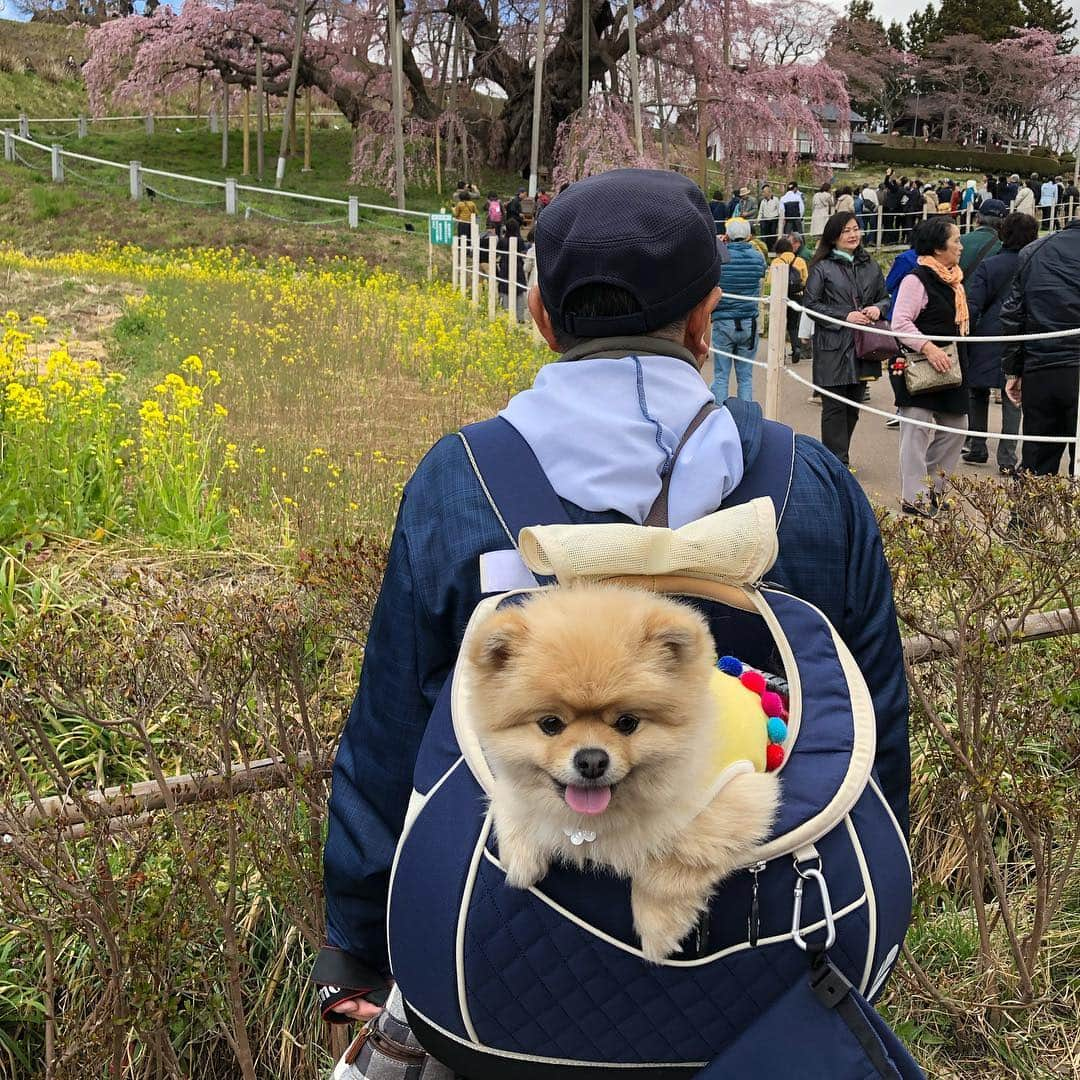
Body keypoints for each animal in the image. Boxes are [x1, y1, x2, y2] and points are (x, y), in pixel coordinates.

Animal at [468, 583, 781, 963]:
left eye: (627, 723)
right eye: (550, 724)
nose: (591, 760)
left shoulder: (739, 797)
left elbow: (672, 859)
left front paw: (657, 928)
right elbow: (510, 798)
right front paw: (520, 857)